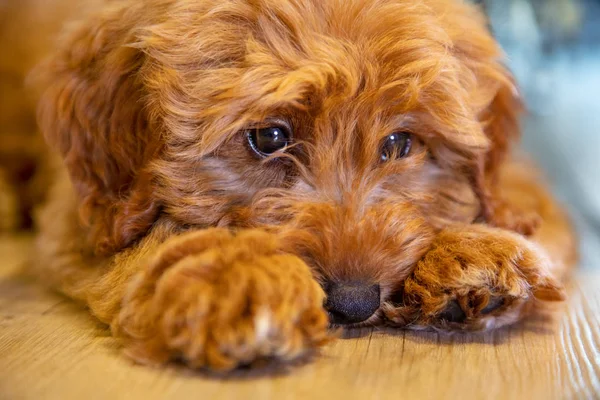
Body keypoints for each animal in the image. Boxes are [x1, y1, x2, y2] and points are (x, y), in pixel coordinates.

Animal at [3, 0, 580, 370]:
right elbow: (148, 240)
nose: (354, 303)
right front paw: (238, 276)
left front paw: (474, 254)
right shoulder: (81, 214)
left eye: (399, 143)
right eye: (269, 137)